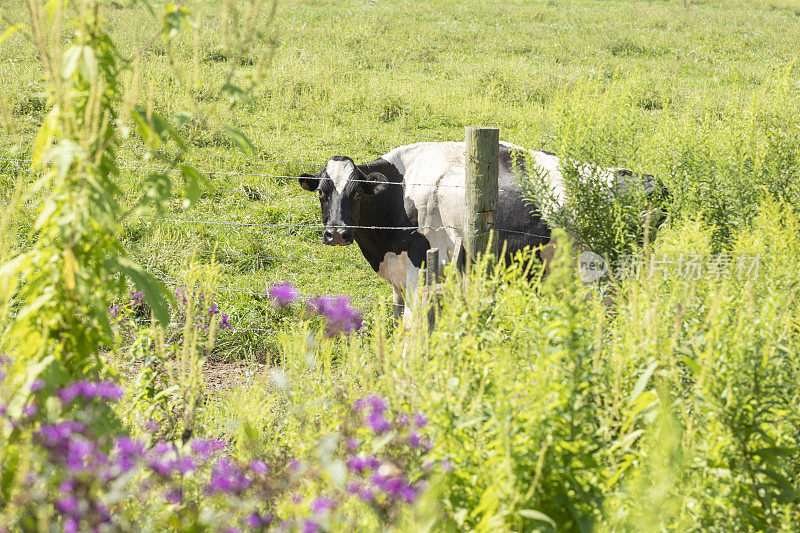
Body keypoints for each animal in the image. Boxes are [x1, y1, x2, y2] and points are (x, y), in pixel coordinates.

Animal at [298, 140, 656, 320]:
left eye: (357, 193)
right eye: (322, 193)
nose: (337, 233)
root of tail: (645, 180)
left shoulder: (421, 268)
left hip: (600, 274)